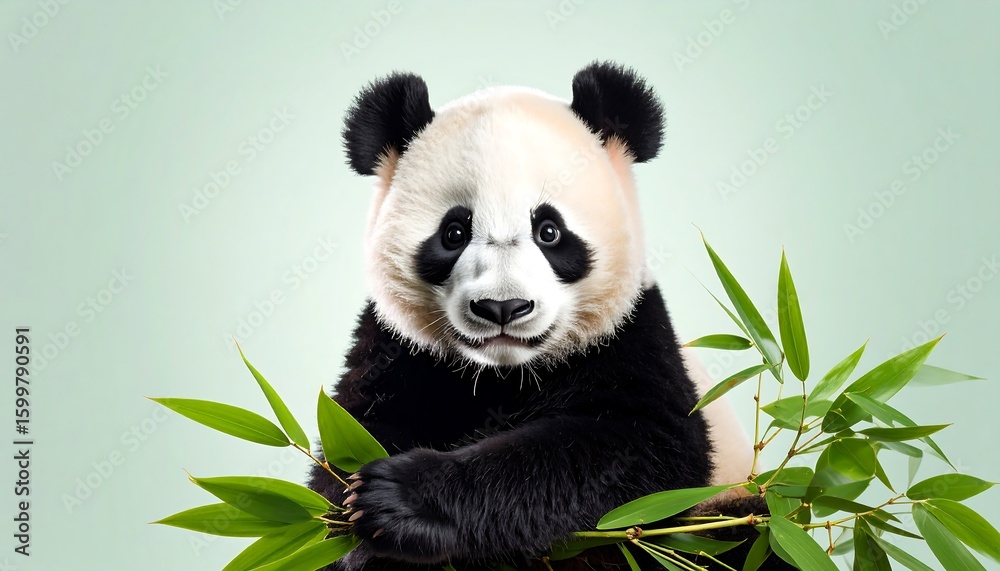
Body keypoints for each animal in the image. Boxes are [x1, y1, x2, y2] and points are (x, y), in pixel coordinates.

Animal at [309, 62, 787, 570]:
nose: (503, 307)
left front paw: (400, 499)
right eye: (454, 232)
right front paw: (358, 534)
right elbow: (352, 441)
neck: (505, 373)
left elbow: (638, 445)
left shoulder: (632, 336)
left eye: (550, 231)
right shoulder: (399, 350)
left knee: (751, 538)